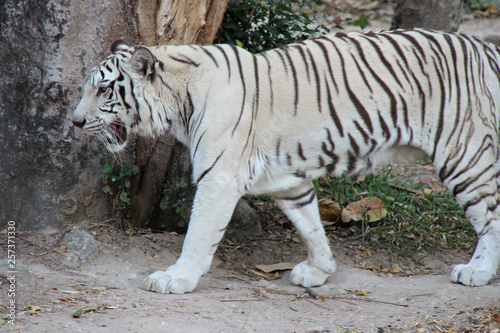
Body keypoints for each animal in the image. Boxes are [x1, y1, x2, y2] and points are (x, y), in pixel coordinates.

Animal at [73, 29, 500, 294]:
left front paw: (176, 278)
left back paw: (477, 271)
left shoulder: (218, 178)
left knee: (491, 219)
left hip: (464, 155)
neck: (179, 102)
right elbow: (310, 225)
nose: (75, 121)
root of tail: (486, 48)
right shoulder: (286, 180)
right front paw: (320, 269)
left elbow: (197, 235)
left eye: (103, 89)